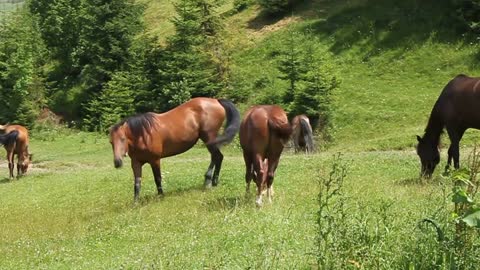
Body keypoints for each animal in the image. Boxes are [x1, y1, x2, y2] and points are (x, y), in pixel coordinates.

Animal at [111, 97, 242, 200]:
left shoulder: (155, 160)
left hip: (209, 137)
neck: (143, 135)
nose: (117, 162)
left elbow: (157, 178)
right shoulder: (136, 163)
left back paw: (208, 181)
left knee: (216, 156)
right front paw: (135, 202)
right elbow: (137, 183)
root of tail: (216, 101)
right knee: (219, 157)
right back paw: (214, 182)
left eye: (122, 139)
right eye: (111, 142)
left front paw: (161, 196)